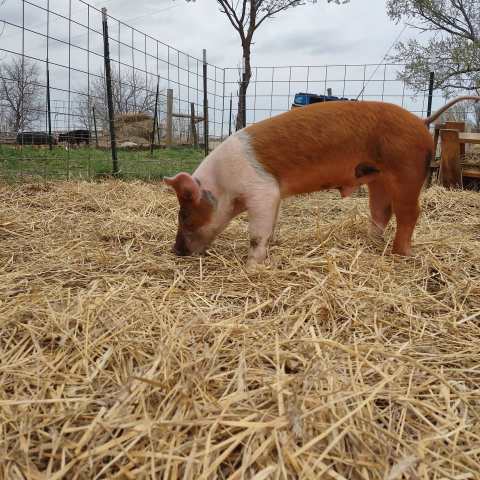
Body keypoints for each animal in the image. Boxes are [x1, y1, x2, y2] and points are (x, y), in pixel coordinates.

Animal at [165, 95, 480, 268]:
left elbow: (256, 233)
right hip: (377, 178)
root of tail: (422, 121)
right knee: (381, 211)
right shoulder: (275, 196)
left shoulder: (262, 191)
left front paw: (252, 266)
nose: (175, 251)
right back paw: (370, 243)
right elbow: (271, 226)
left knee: (409, 213)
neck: (222, 186)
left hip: (408, 171)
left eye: (185, 215)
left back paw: (400, 255)